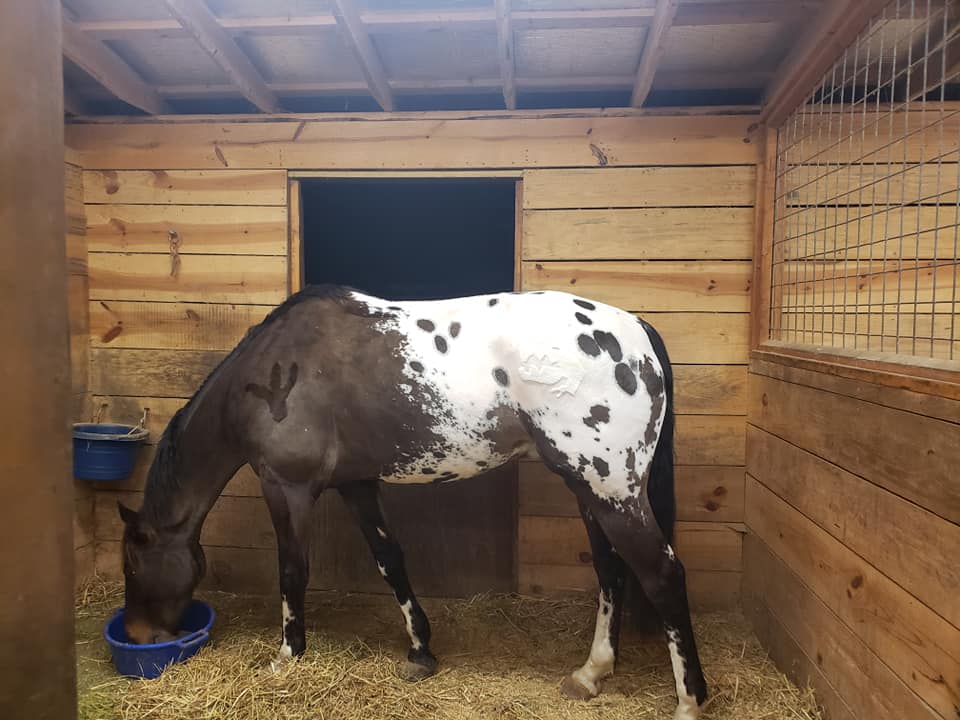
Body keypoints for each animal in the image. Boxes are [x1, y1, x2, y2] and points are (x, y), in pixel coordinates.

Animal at [116, 284, 707, 720]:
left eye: (133, 565)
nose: (138, 635)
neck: (275, 373)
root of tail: (636, 331)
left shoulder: (286, 488)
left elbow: (291, 572)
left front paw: (288, 655)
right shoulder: (357, 485)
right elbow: (390, 561)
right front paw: (420, 651)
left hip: (612, 490)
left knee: (662, 575)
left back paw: (689, 700)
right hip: (592, 488)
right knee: (612, 571)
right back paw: (591, 673)